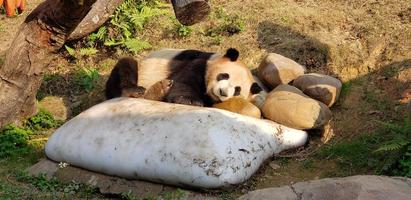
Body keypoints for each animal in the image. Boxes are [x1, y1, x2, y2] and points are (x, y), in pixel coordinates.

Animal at [104, 47, 262, 107]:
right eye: (224, 75)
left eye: (237, 90)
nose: (222, 92)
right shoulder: (199, 63)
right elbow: (183, 82)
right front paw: (190, 101)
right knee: (126, 65)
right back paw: (133, 91)